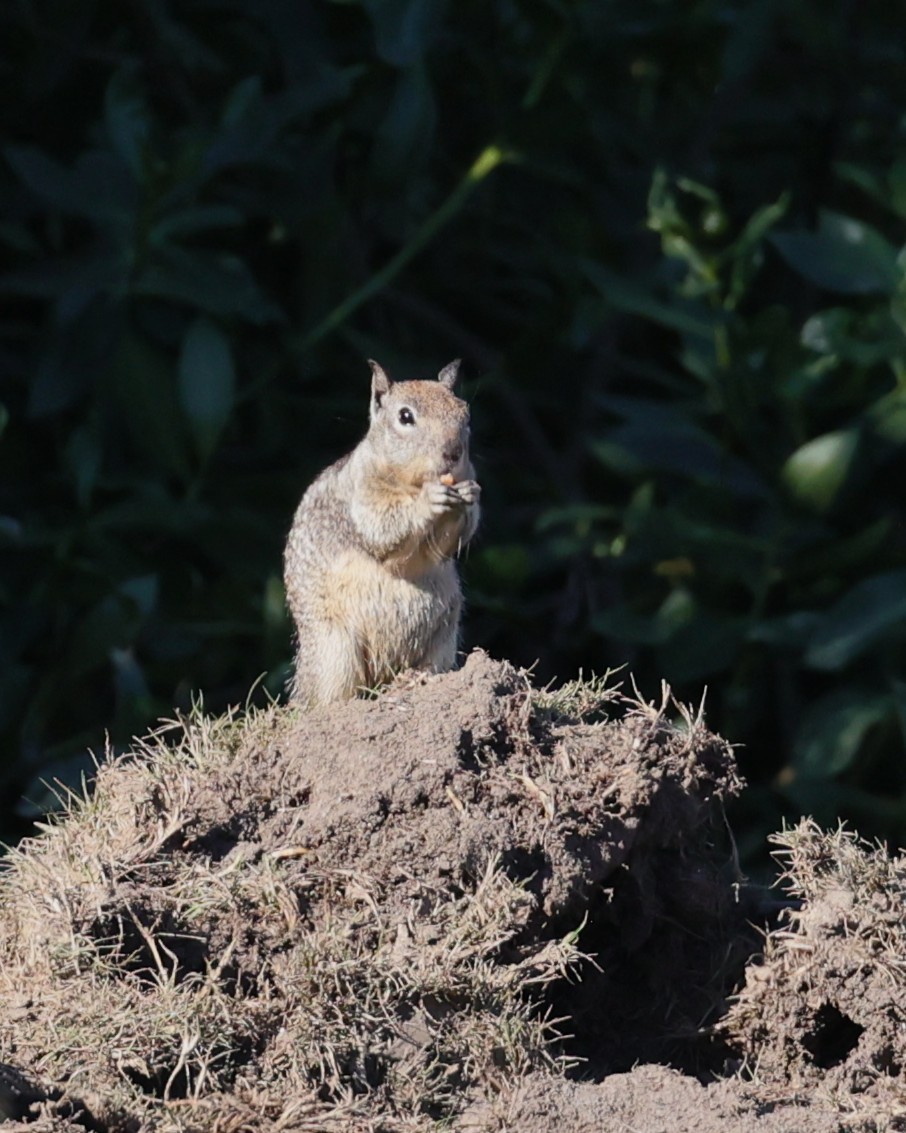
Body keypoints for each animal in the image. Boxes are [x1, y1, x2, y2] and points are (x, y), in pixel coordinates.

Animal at [284, 358, 480, 707]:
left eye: (465, 412)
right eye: (405, 417)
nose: (454, 452)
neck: (411, 483)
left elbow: (443, 546)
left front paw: (470, 496)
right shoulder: (362, 497)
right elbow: (384, 527)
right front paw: (427, 502)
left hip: (445, 634)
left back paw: (418, 680)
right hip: (336, 649)